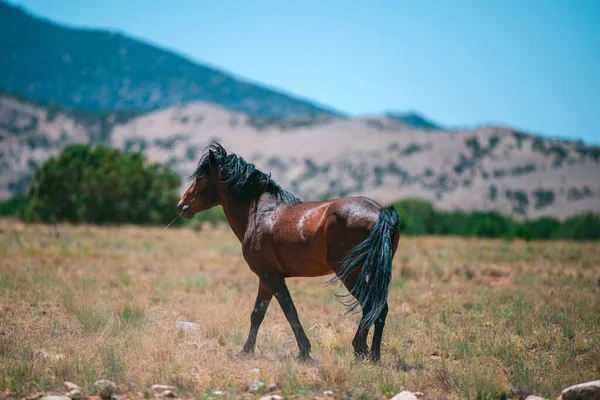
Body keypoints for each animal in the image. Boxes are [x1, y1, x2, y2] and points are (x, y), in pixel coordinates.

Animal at [178, 144, 404, 362]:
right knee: (380, 308)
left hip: (349, 273)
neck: (259, 212)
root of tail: (380, 211)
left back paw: (360, 349)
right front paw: (246, 351)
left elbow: (289, 311)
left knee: (370, 306)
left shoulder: (271, 276)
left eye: (200, 177)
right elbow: (258, 314)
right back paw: (374, 356)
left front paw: (304, 352)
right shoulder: (266, 277)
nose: (181, 206)